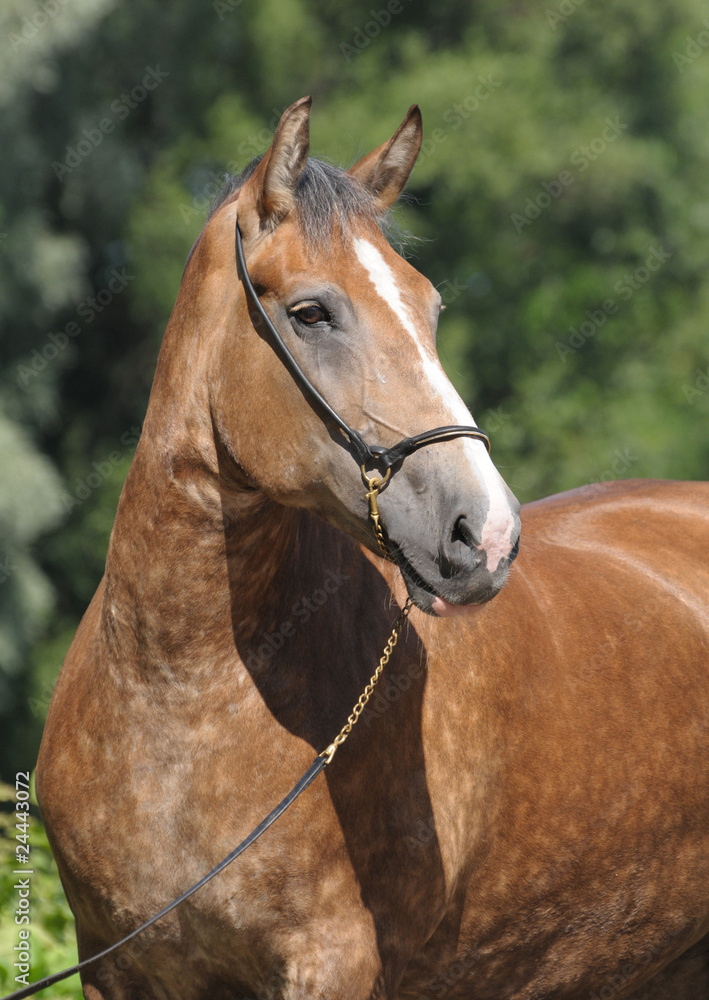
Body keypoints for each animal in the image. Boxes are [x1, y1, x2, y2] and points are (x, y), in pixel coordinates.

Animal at [37, 97, 709, 1000]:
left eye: (429, 310)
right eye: (310, 312)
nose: (486, 532)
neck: (176, 700)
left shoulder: (331, 965)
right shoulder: (116, 966)